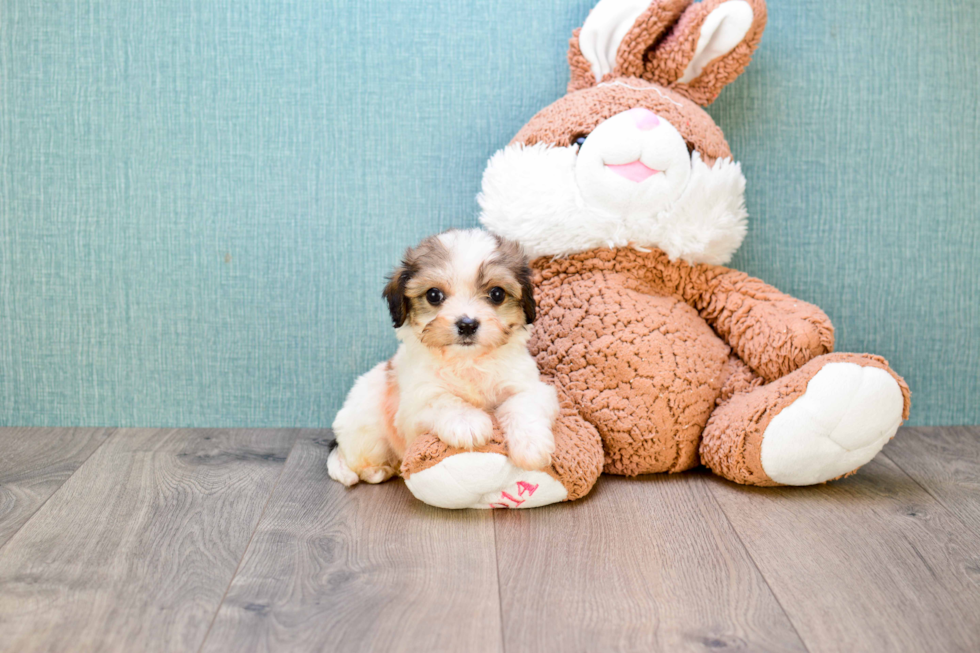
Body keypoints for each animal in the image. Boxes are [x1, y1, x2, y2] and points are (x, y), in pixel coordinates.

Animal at [330, 227, 560, 486]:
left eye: (497, 294)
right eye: (434, 295)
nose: (467, 324)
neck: (468, 361)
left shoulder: (530, 386)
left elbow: (523, 404)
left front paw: (530, 445)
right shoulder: (415, 405)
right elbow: (443, 400)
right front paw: (467, 422)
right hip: (366, 426)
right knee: (355, 458)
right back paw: (377, 470)